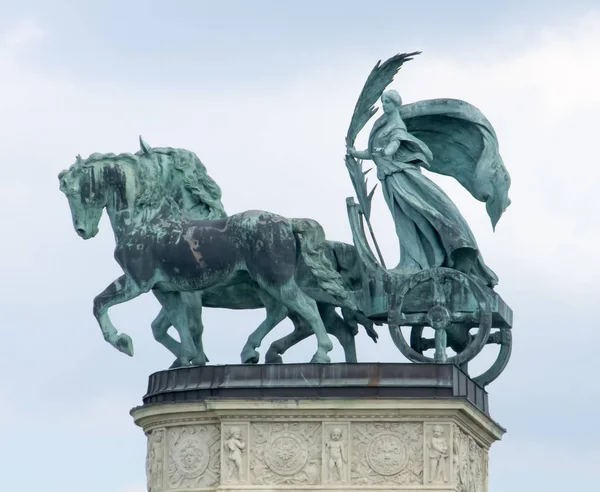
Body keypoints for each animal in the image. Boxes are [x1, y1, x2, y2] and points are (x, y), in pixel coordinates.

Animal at [58, 154, 354, 366]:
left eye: (73, 190)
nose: (82, 230)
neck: (146, 220)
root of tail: (288, 222)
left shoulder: (137, 283)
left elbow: (100, 303)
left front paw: (122, 342)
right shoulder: (166, 289)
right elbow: (173, 324)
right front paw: (187, 358)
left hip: (276, 280)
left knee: (308, 310)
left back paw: (319, 355)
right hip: (265, 284)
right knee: (285, 314)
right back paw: (253, 351)